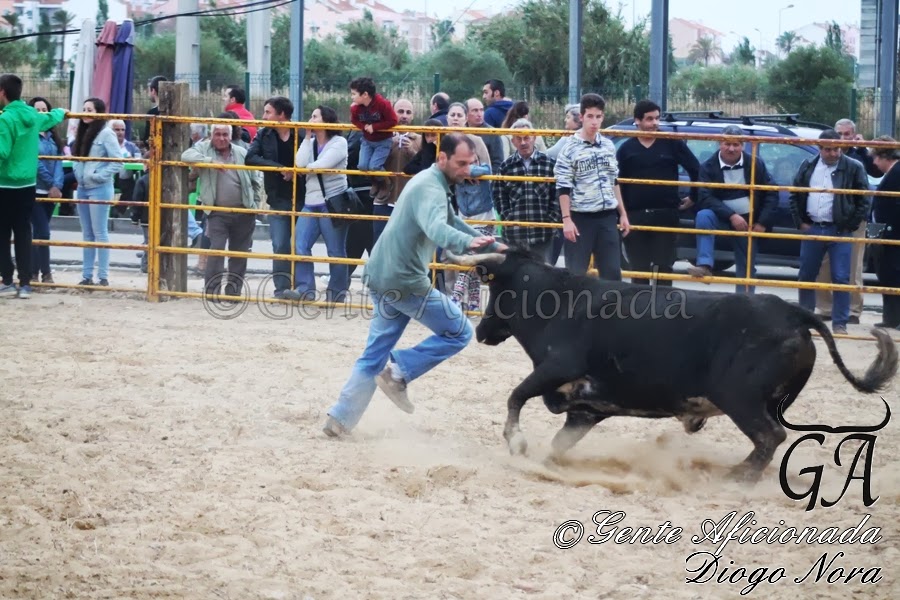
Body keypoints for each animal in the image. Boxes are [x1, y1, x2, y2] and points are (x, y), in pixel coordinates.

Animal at [443, 246, 898, 482]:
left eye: (494, 287)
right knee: (770, 438)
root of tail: (790, 312)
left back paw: (738, 477)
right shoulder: (586, 409)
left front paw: (516, 443)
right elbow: (559, 441)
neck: (560, 300)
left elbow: (515, 397)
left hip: (740, 398)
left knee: (770, 436)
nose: (482, 331)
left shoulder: (557, 370)